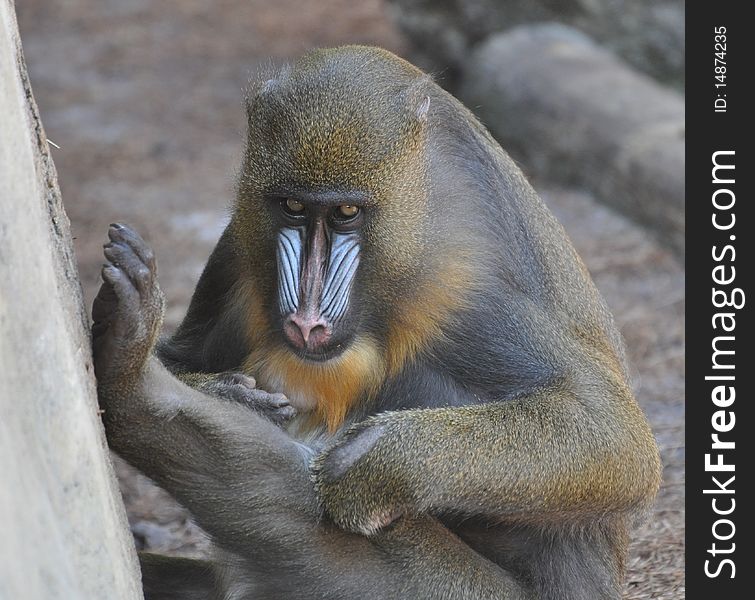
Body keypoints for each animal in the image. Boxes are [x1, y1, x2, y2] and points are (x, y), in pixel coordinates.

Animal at [93, 44, 660, 596]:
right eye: (293, 205)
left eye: (346, 213)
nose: (307, 322)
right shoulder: (237, 245)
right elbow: (184, 359)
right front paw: (230, 391)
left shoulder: (466, 286)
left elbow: (612, 432)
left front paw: (374, 464)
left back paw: (133, 385)